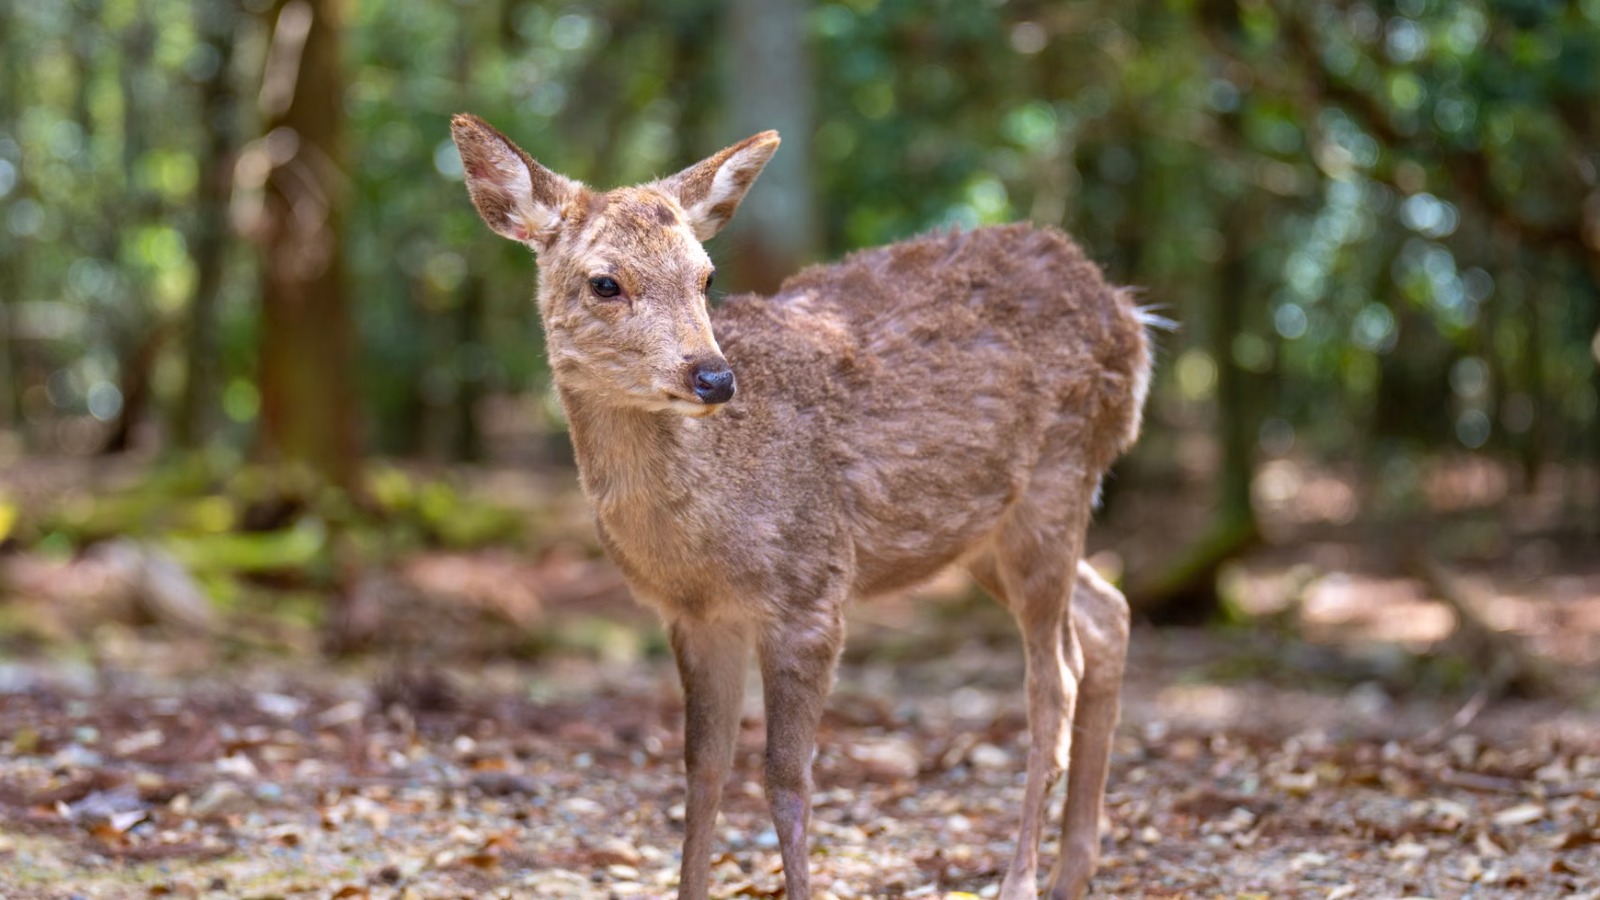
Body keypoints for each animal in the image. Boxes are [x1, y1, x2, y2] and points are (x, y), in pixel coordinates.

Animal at [449, 112, 1155, 900]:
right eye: (605, 282)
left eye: (707, 276)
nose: (714, 377)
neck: (702, 534)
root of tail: (1131, 317)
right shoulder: (694, 616)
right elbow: (702, 771)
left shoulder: (810, 590)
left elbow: (787, 779)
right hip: (988, 532)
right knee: (1107, 614)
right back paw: (1074, 870)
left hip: (1057, 482)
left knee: (1054, 681)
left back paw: (1023, 879)